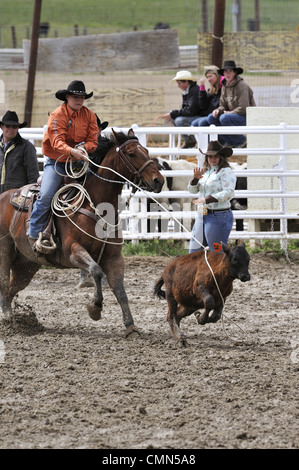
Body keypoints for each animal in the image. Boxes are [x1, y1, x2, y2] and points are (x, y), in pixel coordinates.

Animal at [0, 129, 164, 338]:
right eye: (131, 153)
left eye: (146, 150)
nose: (159, 180)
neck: (93, 205)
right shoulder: (73, 251)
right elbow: (96, 271)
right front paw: (95, 308)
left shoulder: (114, 257)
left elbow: (120, 290)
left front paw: (131, 327)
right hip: (5, 252)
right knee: (4, 285)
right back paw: (8, 320)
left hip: (27, 263)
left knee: (12, 288)